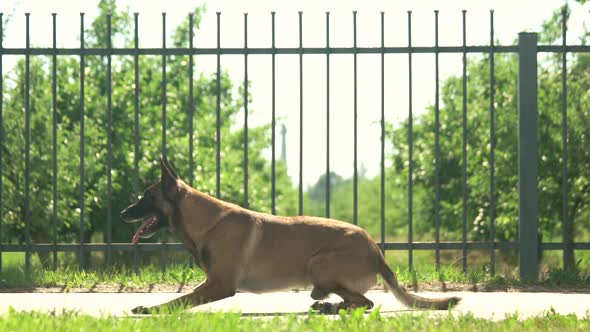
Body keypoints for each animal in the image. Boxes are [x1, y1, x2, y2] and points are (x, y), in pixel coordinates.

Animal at [121, 158, 462, 314]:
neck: (206, 220)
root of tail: (377, 253)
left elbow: (179, 300)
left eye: (147, 196)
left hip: (319, 263)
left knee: (364, 302)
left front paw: (149, 310)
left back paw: (328, 307)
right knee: (356, 301)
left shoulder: (219, 285)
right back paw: (326, 306)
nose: (124, 212)